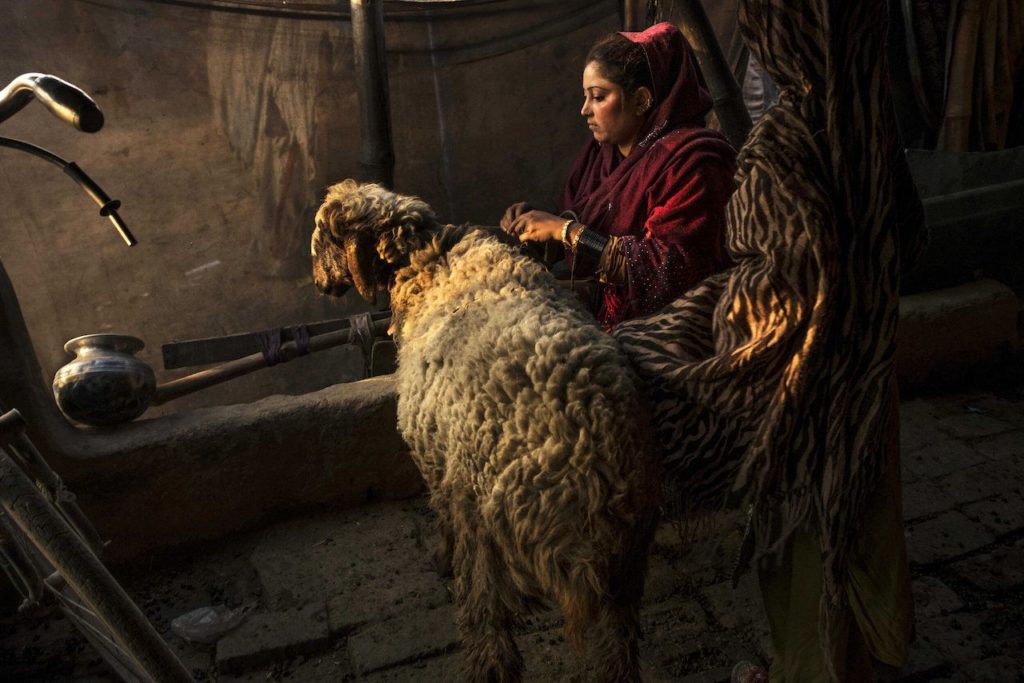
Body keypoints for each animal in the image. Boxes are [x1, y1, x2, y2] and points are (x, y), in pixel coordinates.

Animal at [311, 180, 659, 683]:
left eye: (322, 235)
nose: (318, 282)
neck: (431, 264)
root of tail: (586, 467)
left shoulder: (433, 455)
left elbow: (439, 513)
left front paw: (440, 557)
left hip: (485, 532)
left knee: (491, 637)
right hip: (629, 558)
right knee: (619, 649)